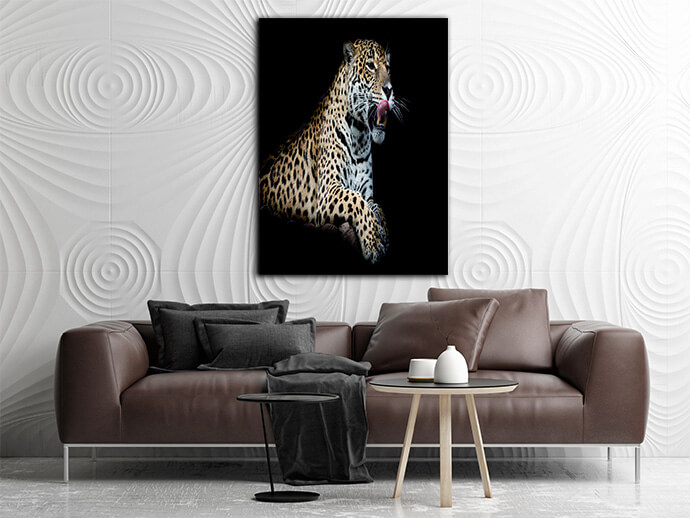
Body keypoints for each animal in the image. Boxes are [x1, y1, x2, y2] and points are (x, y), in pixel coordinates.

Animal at [260, 39, 402, 264]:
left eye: (388, 68)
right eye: (371, 66)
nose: (389, 90)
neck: (360, 135)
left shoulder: (367, 193)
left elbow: (377, 207)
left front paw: (383, 233)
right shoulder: (327, 192)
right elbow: (356, 201)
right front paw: (373, 243)